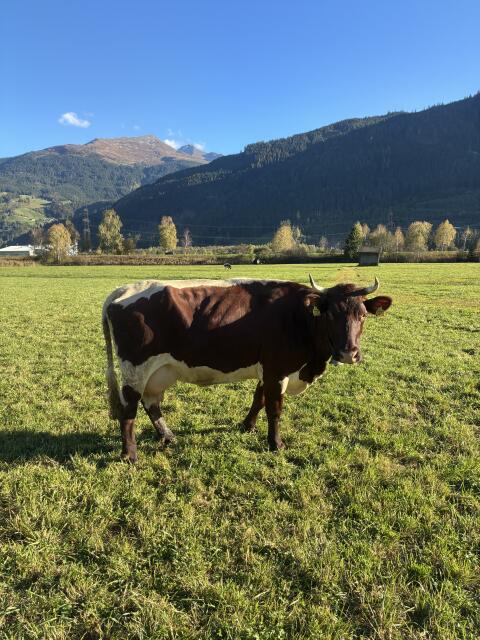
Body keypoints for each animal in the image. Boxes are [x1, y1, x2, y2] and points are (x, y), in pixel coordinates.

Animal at [102, 276, 392, 462]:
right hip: (135, 368)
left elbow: (258, 398)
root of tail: (122, 290)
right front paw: (276, 444)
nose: (348, 352)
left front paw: (247, 425)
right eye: (330, 314)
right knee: (129, 409)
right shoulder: (277, 368)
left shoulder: (267, 368)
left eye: (362, 315)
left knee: (151, 403)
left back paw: (168, 437)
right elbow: (274, 409)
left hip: (159, 372)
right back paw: (130, 455)